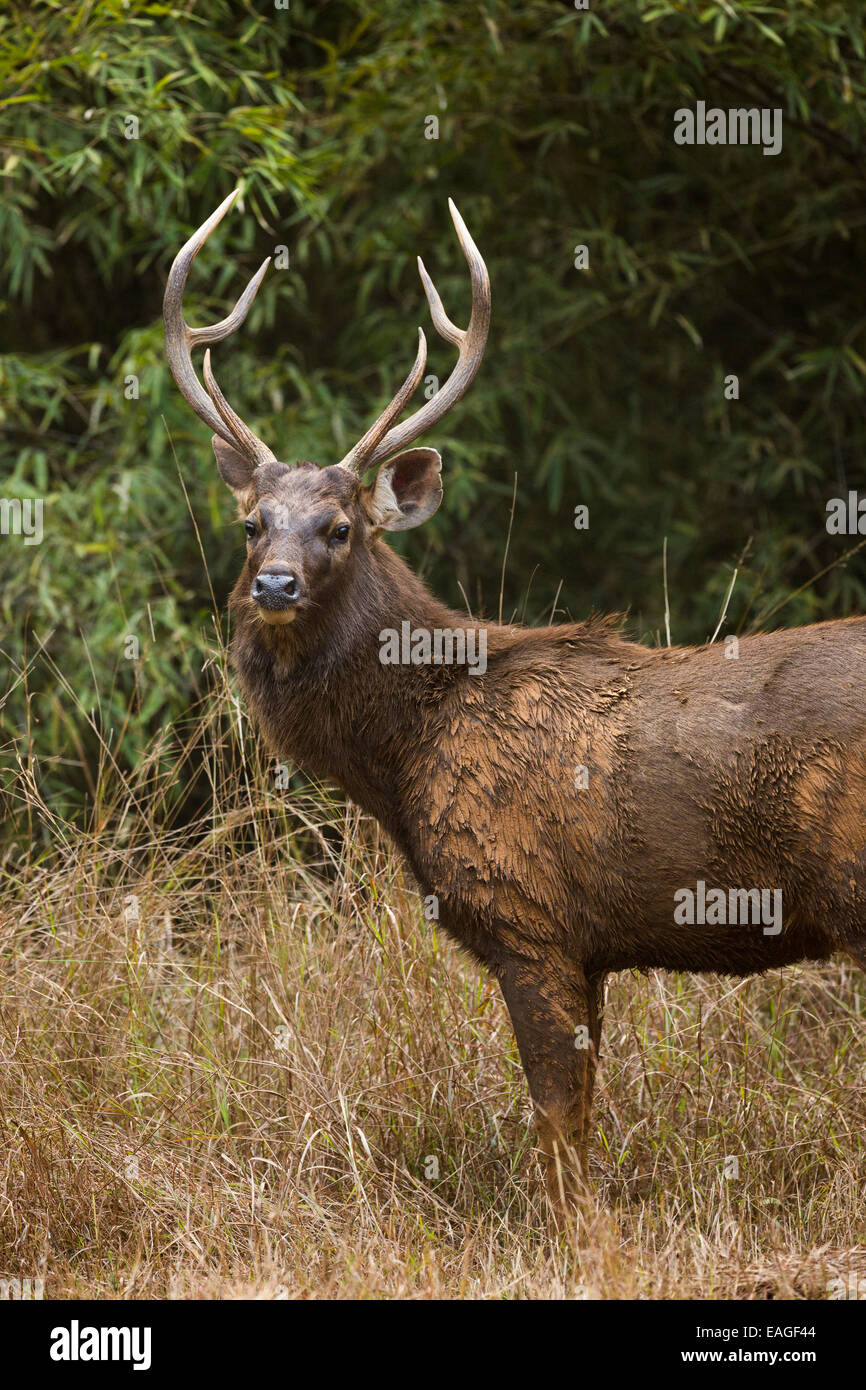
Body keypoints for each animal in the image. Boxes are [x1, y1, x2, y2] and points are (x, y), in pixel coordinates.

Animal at [166, 190, 866, 1212]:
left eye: (341, 527)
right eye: (253, 523)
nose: (276, 585)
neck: (409, 749)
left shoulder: (529, 918)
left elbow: (557, 1132)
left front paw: (579, 1235)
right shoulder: (587, 947)